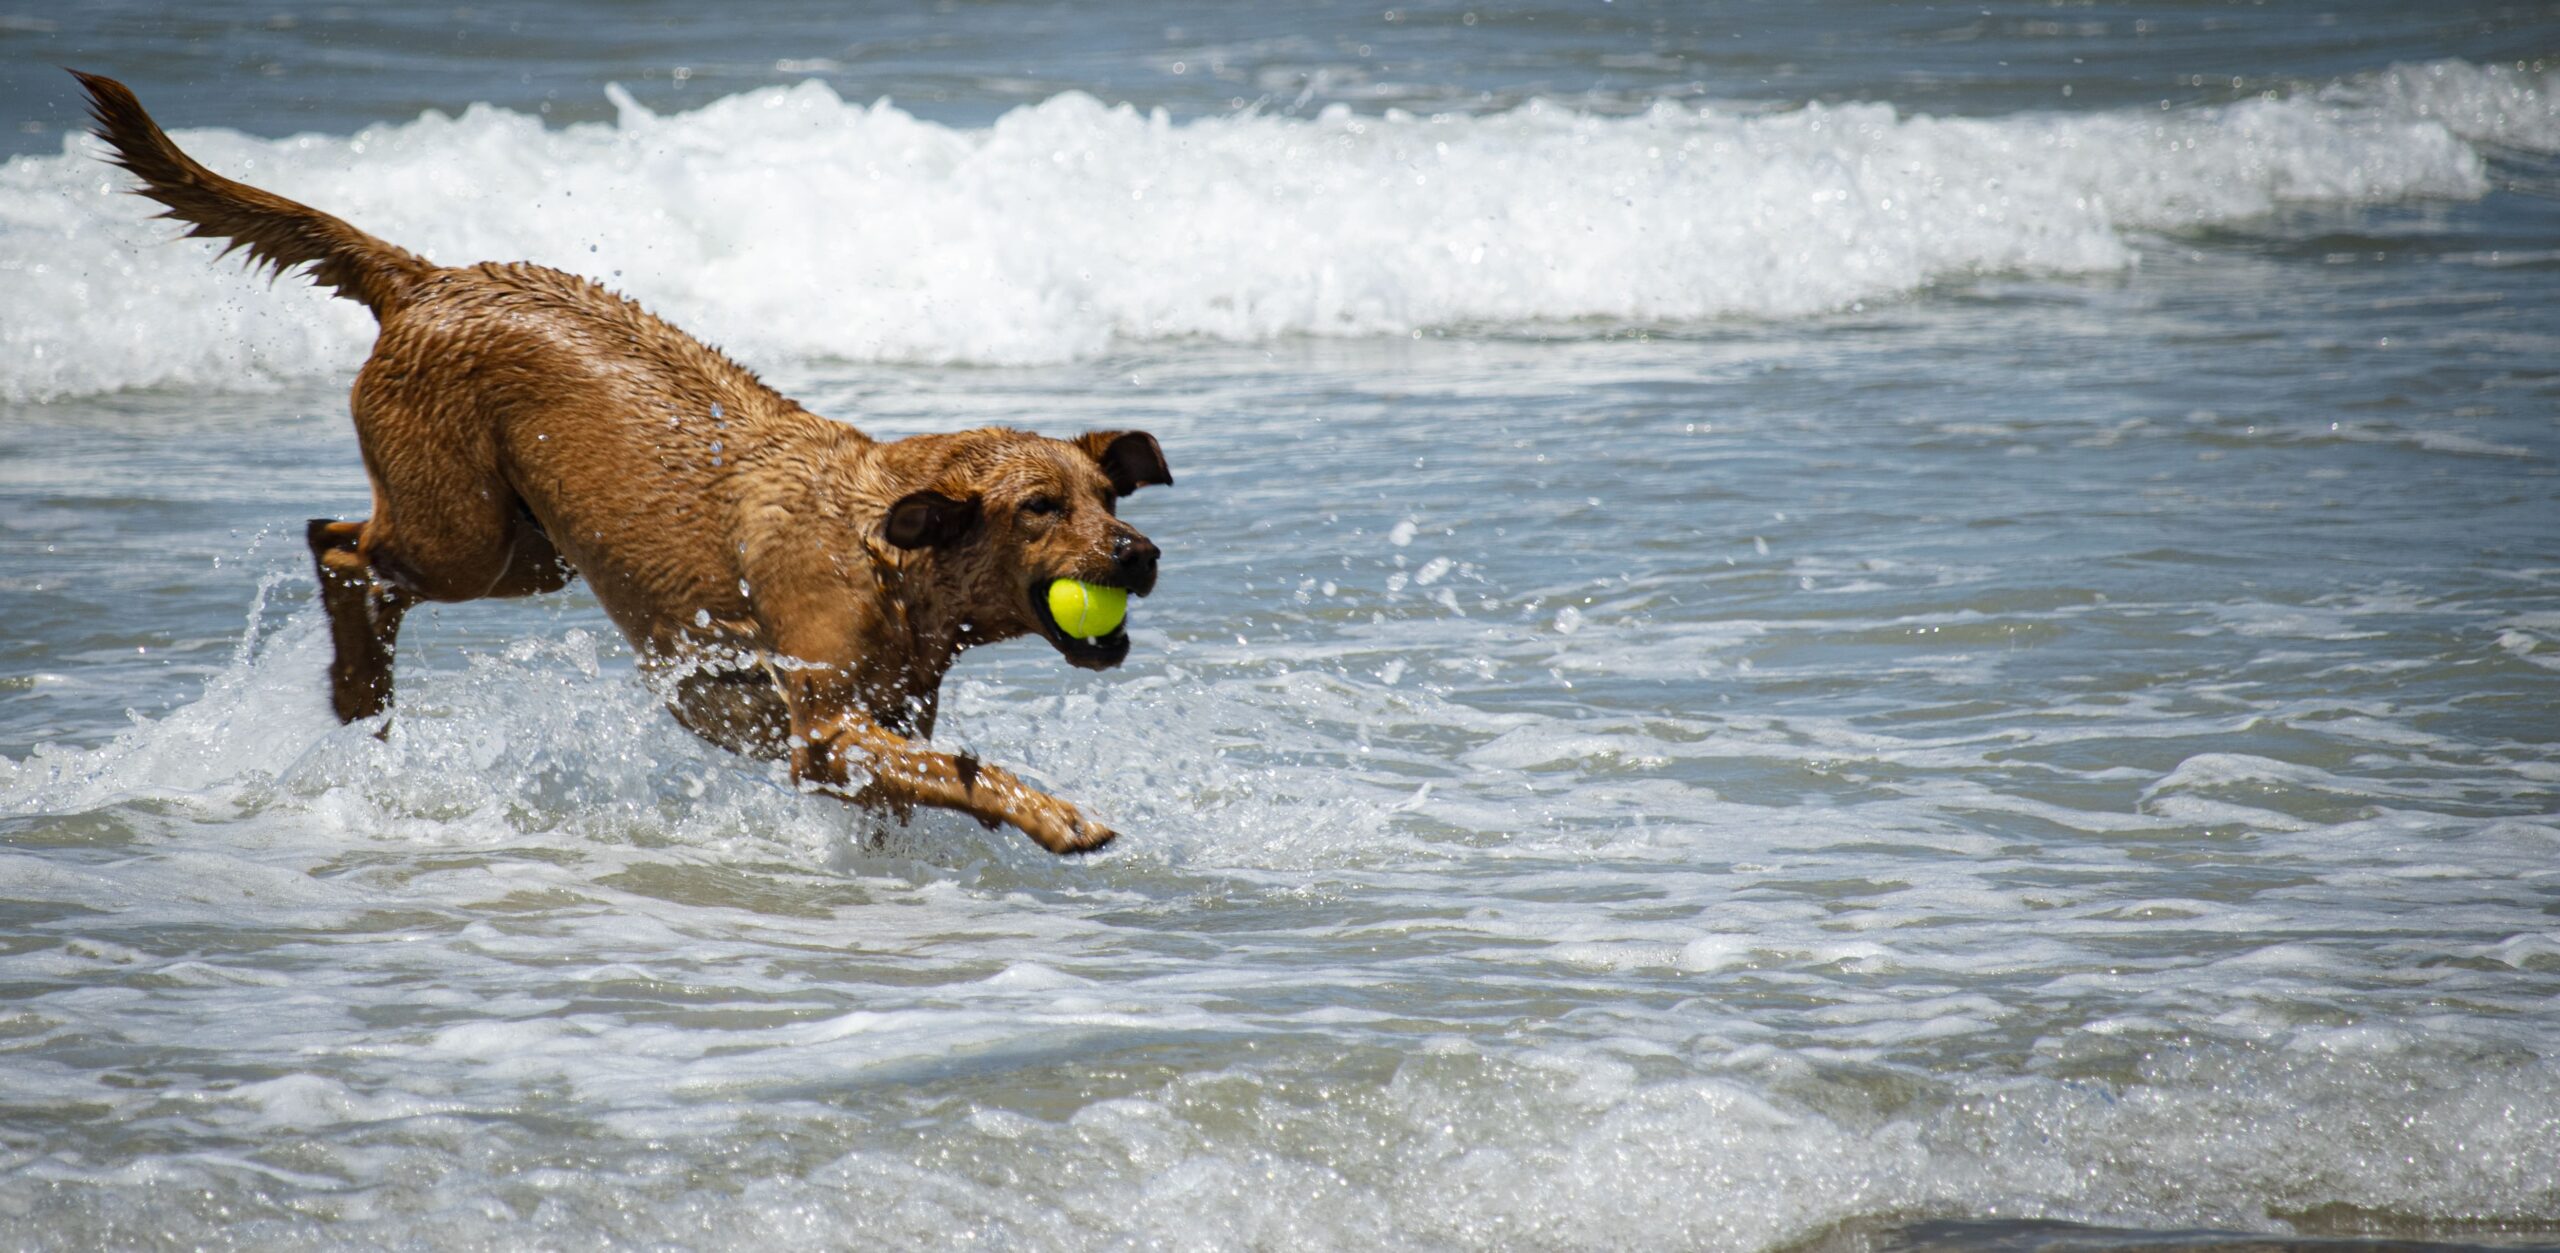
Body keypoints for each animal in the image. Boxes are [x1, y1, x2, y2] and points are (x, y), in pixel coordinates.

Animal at [70, 73, 1172, 855]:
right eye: (1039, 507)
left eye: (1107, 494)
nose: (1140, 552)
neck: (882, 550)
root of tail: (425, 279)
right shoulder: (826, 732)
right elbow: (961, 770)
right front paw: (1058, 815)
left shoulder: (874, 728)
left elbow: (929, 774)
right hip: (464, 532)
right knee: (341, 546)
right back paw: (358, 692)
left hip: (536, 550)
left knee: (353, 547)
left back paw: (362, 699)